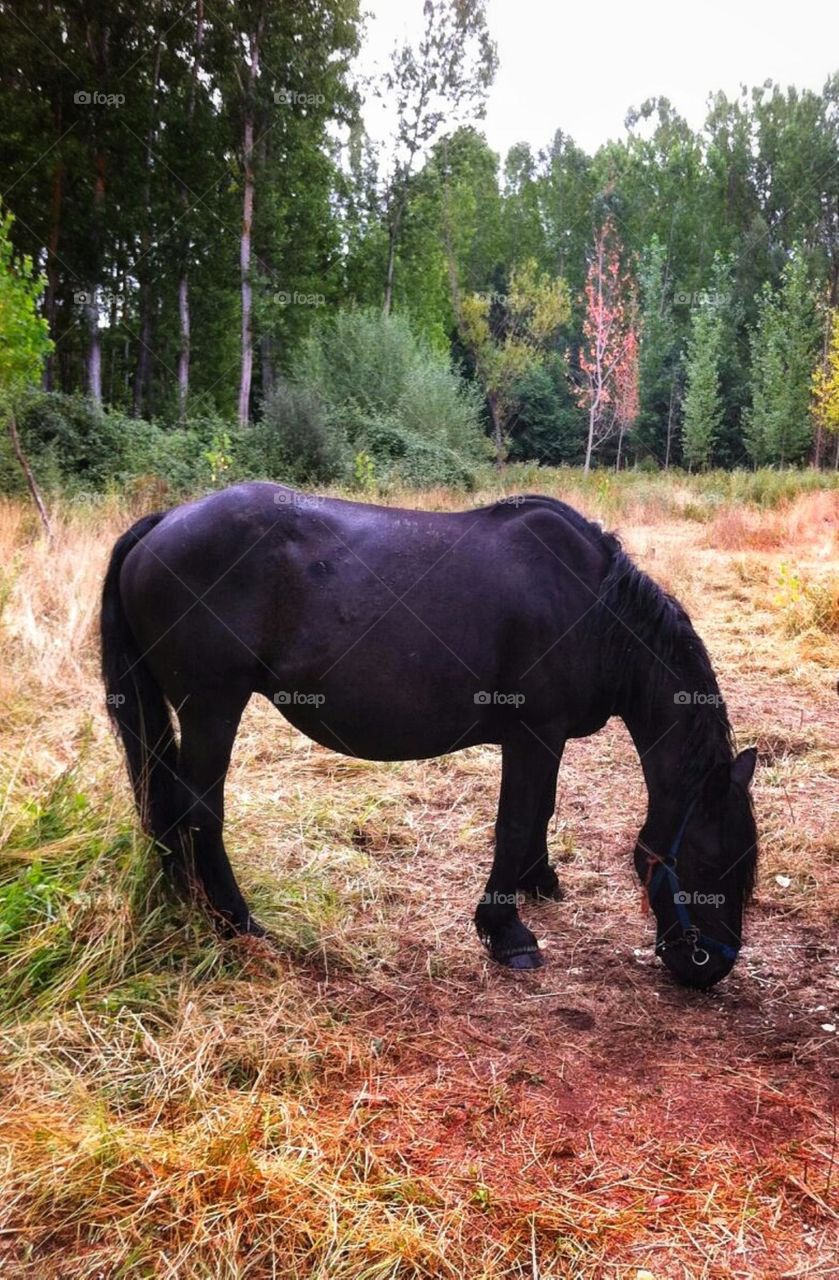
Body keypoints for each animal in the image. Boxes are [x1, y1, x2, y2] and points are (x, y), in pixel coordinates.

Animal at [101, 483, 758, 989]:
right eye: (712, 860)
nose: (710, 967)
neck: (596, 612)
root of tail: (164, 521)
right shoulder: (534, 734)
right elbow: (518, 820)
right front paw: (506, 931)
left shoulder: (546, 740)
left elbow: (541, 813)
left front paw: (539, 882)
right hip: (212, 708)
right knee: (199, 811)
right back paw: (238, 923)